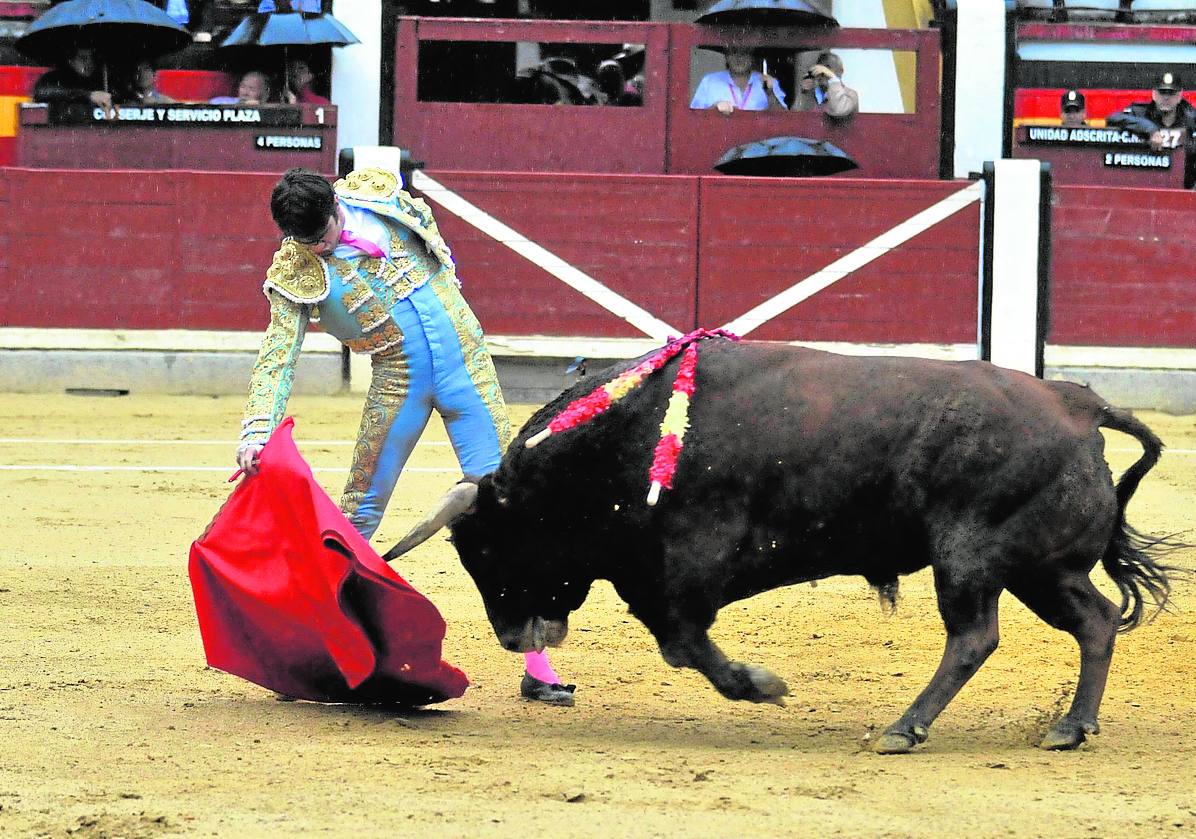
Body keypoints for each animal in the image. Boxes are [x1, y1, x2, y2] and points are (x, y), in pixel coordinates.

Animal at [385, 339, 1176, 755]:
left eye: (487, 550)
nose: (513, 637)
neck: (621, 437)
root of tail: (1077, 401)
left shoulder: (684, 567)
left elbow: (682, 642)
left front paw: (760, 684)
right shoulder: (652, 576)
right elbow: (676, 641)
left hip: (972, 557)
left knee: (974, 636)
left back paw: (903, 728)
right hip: (1042, 568)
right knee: (1096, 619)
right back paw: (1070, 726)